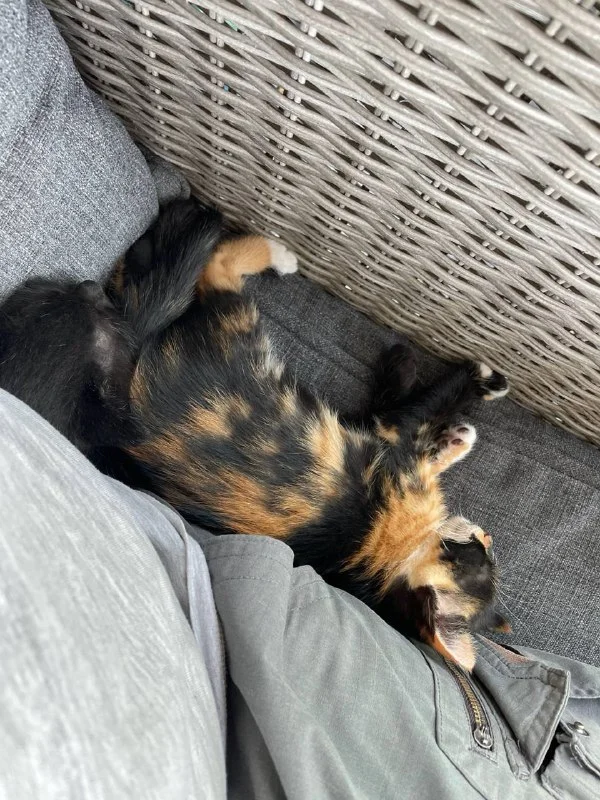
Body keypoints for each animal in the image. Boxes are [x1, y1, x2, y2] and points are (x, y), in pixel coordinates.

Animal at [111, 198, 510, 671]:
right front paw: (476, 387)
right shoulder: (388, 433)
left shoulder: (386, 436)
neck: (392, 556)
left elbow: (419, 417)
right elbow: (424, 405)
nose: (488, 538)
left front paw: (457, 432)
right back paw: (278, 253)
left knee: (216, 266)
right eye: (480, 558)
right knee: (218, 262)